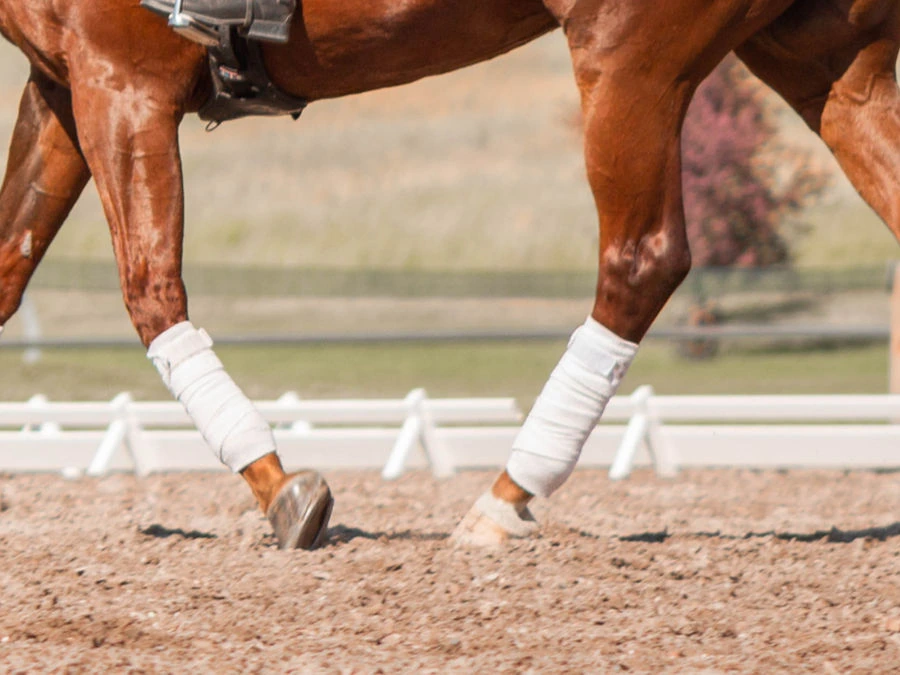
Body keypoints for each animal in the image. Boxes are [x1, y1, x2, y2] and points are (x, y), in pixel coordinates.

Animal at [0, 1, 897, 549]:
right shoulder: (63, 81)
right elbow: (11, 269)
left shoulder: (123, 81)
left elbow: (150, 288)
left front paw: (282, 489)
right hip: (820, 56)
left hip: (629, 56)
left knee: (643, 259)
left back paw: (505, 497)